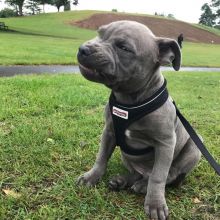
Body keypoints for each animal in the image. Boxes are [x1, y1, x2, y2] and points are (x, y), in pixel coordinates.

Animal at [77, 19, 201, 219]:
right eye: (99, 33)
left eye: (123, 47)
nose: (83, 49)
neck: (129, 100)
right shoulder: (108, 132)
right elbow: (101, 157)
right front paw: (91, 177)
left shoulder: (166, 143)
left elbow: (159, 176)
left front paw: (155, 204)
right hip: (128, 157)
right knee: (137, 173)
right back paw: (122, 180)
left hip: (194, 148)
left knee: (169, 174)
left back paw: (143, 186)